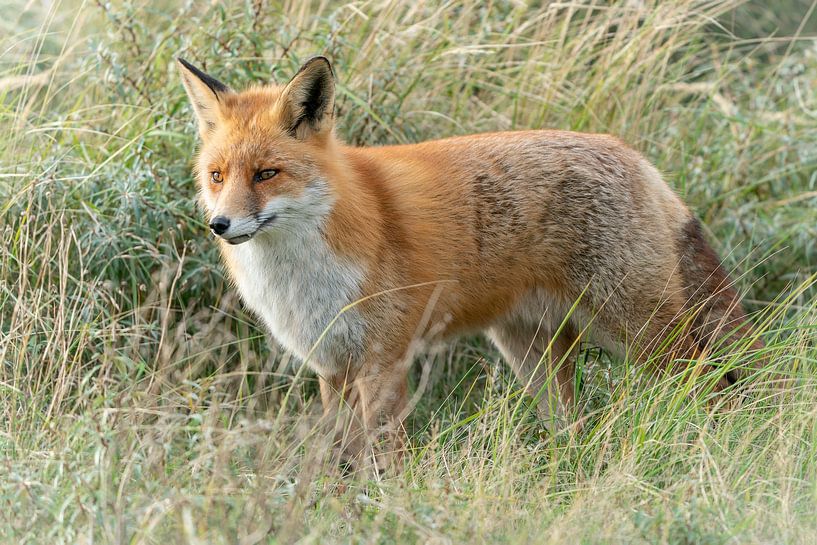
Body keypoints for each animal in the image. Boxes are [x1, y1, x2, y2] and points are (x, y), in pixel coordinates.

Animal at [177, 55, 767, 466]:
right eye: (217, 176)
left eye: (266, 175)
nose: (220, 225)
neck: (301, 277)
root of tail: (636, 157)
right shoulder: (333, 366)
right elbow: (342, 458)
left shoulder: (384, 362)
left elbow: (383, 459)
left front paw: (388, 508)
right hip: (532, 352)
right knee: (572, 426)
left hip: (635, 329)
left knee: (705, 382)